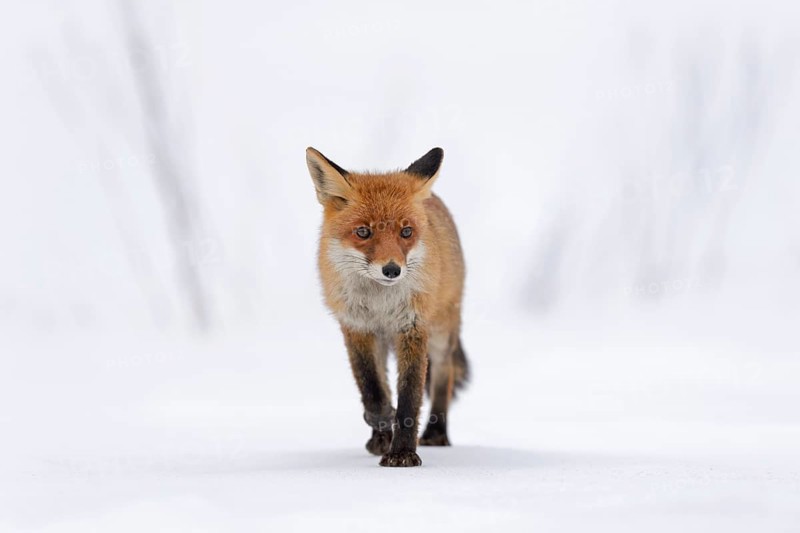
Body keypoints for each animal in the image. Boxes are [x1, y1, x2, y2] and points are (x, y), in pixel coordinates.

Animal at [306, 146, 469, 467]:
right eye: (363, 232)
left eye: (406, 232)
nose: (392, 270)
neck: (380, 303)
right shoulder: (356, 327)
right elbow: (371, 386)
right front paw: (381, 421)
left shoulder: (413, 327)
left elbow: (409, 395)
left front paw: (403, 452)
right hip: (383, 341)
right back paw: (380, 436)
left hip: (442, 332)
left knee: (443, 374)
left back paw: (436, 432)